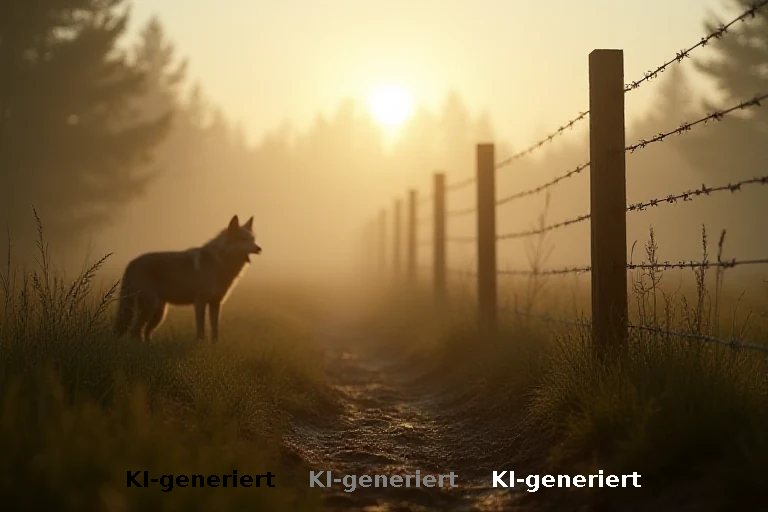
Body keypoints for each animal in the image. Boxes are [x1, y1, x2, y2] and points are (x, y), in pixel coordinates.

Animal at [114, 215, 262, 342]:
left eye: (252, 239)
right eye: (243, 239)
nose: (259, 248)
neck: (219, 262)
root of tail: (131, 263)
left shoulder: (215, 303)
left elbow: (215, 329)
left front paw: (214, 345)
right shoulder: (200, 302)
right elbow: (201, 328)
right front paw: (200, 343)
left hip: (159, 313)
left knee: (145, 332)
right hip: (148, 308)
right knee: (135, 331)